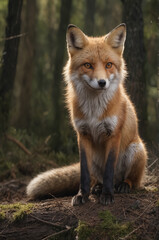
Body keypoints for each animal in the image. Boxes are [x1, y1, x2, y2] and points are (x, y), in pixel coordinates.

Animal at [26, 23, 147, 205]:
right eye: (88, 65)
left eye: (108, 65)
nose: (102, 82)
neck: (94, 111)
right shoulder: (82, 134)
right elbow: (84, 172)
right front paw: (82, 195)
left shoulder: (113, 134)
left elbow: (109, 169)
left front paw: (107, 195)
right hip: (96, 160)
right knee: (96, 178)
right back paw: (97, 188)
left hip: (136, 149)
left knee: (133, 180)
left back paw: (123, 185)